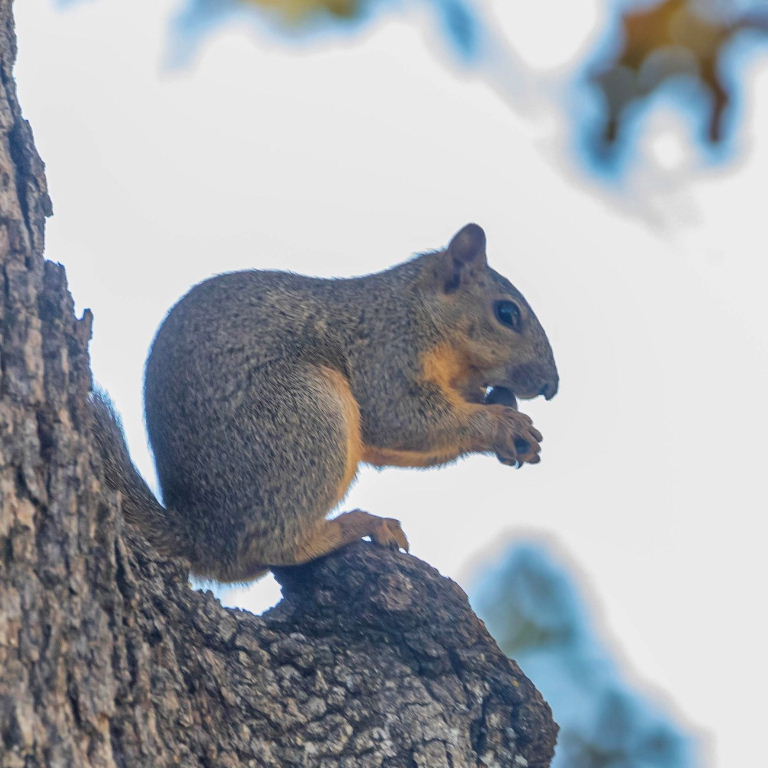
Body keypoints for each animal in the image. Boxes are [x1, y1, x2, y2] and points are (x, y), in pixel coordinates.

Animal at [92, 223, 558, 583]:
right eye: (507, 313)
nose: (552, 385)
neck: (418, 310)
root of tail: (204, 533)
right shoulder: (386, 352)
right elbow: (399, 417)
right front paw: (502, 424)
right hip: (305, 415)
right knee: (276, 545)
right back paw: (357, 524)